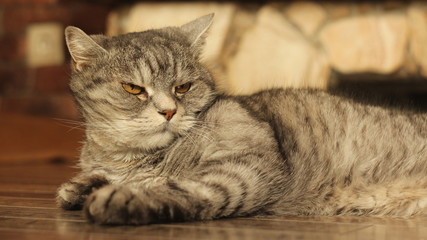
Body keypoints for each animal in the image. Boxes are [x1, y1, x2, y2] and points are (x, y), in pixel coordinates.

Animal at [57, 13, 427, 225]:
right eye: (133, 88)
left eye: (183, 87)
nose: (168, 111)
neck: (132, 159)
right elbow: (97, 178)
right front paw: (80, 186)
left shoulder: (244, 169)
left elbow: (180, 188)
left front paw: (123, 196)